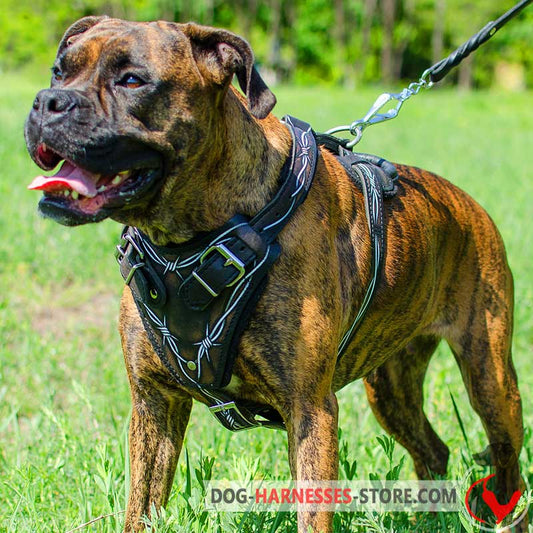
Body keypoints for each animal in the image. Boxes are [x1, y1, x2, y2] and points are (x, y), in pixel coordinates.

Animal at [25, 14, 524, 532]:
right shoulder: (154, 403)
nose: (47, 101)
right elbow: (140, 507)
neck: (194, 239)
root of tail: (471, 207)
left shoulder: (310, 412)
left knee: (508, 464)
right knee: (433, 451)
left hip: (490, 379)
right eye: (59, 71)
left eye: (131, 80)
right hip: (391, 387)